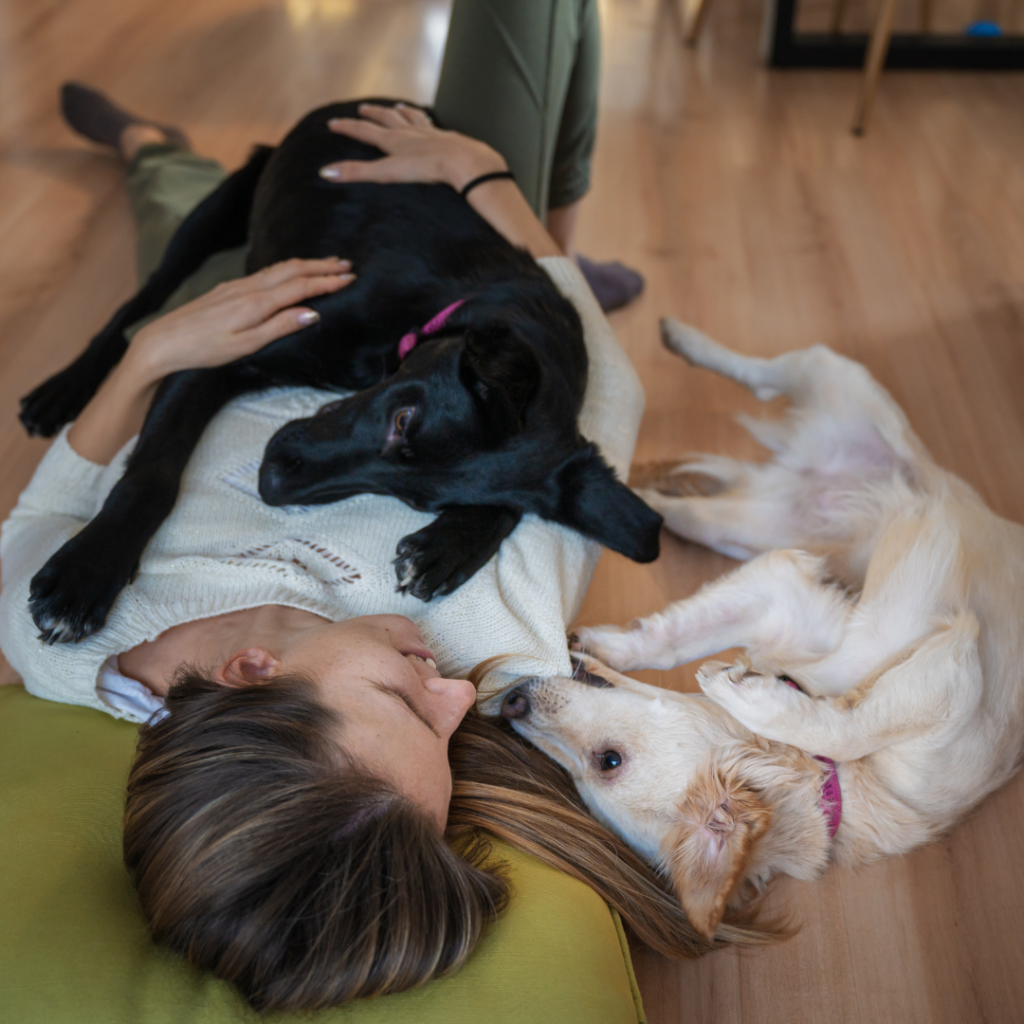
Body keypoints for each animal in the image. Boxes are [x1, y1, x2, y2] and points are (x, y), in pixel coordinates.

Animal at [25, 97, 663, 638]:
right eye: (404, 418)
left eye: (420, 503)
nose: (270, 483)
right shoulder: (216, 351)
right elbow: (152, 473)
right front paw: (87, 570)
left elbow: (510, 506)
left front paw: (449, 548)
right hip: (213, 219)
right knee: (140, 310)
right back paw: (62, 389)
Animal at [499, 321, 1024, 942]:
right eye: (584, 775)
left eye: (607, 762)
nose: (509, 702)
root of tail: (802, 475)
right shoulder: (783, 591)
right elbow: (680, 639)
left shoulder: (954, 670)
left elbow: (847, 722)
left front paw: (744, 692)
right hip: (777, 473)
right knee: (700, 458)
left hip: (819, 422)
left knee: (724, 427)